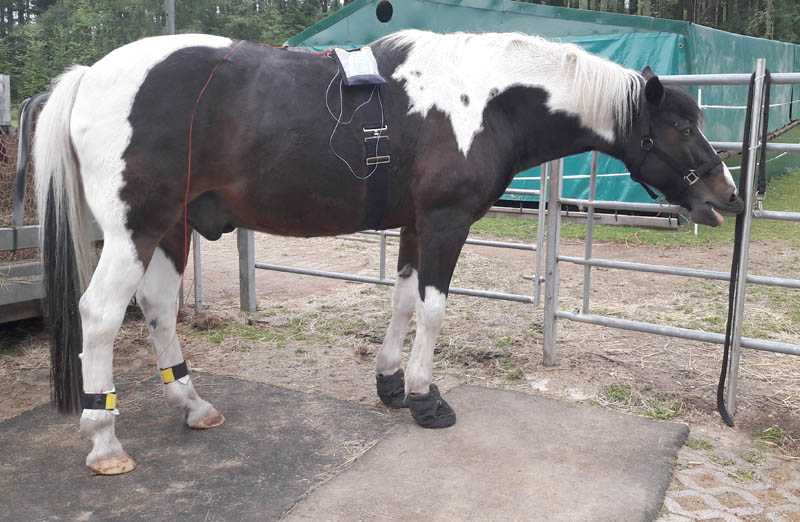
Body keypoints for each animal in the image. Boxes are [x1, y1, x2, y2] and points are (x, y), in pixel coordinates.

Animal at [31, 30, 744, 474]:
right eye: (680, 127)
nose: (729, 196)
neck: (482, 100)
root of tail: (90, 76)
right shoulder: (446, 223)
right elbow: (432, 310)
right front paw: (427, 398)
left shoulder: (413, 227)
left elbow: (402, 303)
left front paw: (392, 384)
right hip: (135, 229)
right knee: (101, 314)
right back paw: (104, 440)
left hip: (167, 230)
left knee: (157, 307)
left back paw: (193, 405)